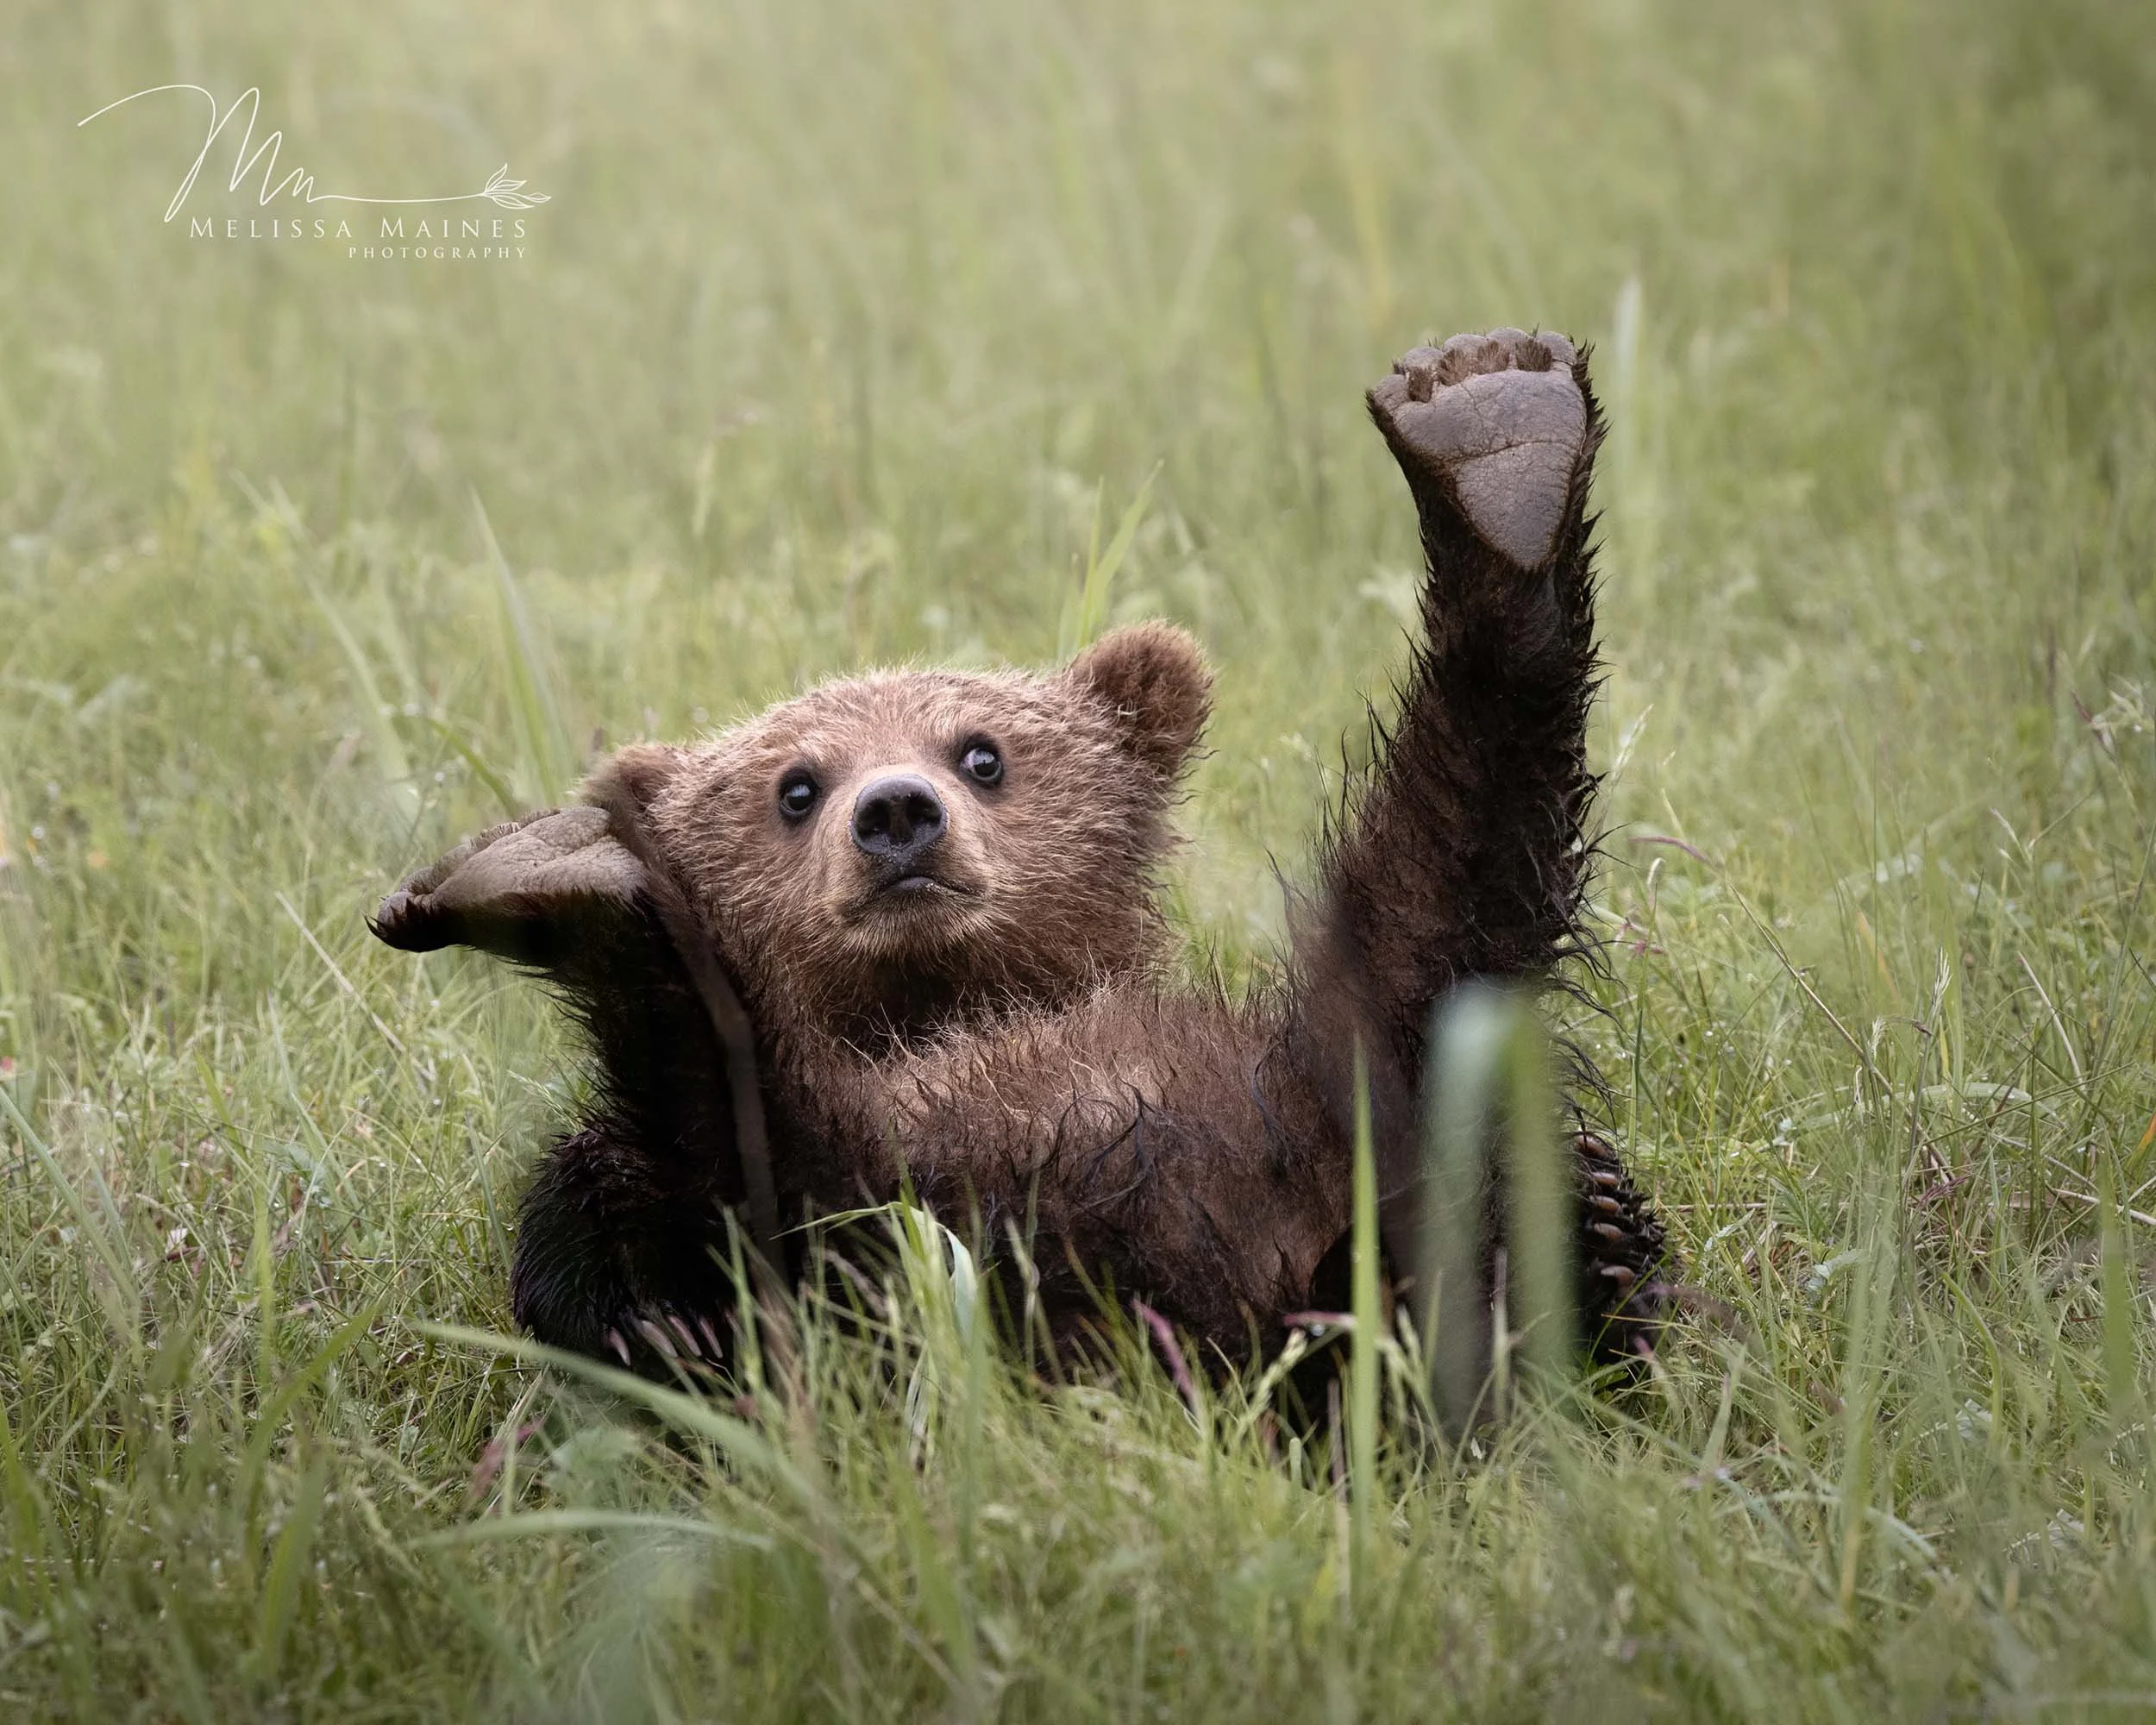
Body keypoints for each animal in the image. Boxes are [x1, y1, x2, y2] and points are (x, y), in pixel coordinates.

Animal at [370, 327, 1667, 1381]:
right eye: (795, 784)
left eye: (982, 750)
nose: (897, 813)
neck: (952, 1012)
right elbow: (605, 1243)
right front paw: (648, 1321)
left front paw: (1610, 1232)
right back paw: (572, 885)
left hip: (1333, 1121)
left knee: (1438, 916)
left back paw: (1499, 453)